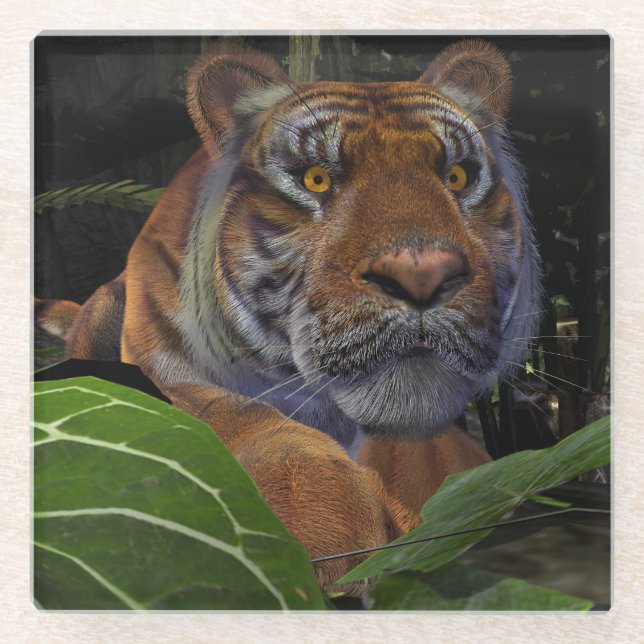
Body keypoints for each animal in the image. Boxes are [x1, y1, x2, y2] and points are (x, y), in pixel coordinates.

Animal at [43, 38, 542, 595]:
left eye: (457, 176)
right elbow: (233, 413)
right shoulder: (163, 370)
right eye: (316, 179)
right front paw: (325, 527)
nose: (421, 274)